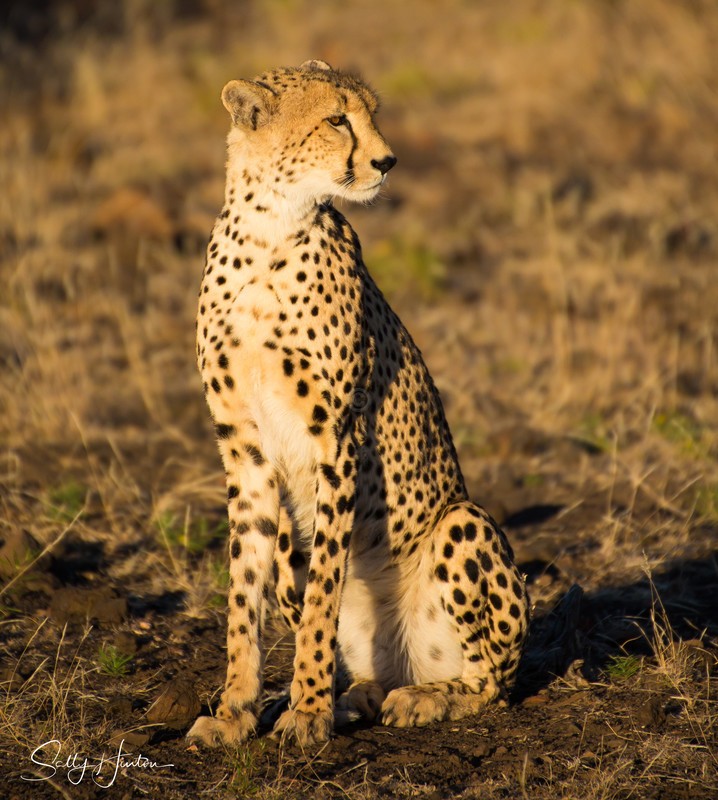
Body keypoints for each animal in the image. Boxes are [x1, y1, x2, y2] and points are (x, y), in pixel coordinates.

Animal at [187, 60, 529, 748]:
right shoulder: (245, 449)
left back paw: (423, 698)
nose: (387, 160)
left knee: (492, 683)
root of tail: (402, 663)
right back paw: (356, 696)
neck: (270, 227)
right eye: (336, 119)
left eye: (371, 114)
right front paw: (236, 711)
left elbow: (324, 588)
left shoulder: (336, 437)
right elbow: (243, 591)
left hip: (462, 523)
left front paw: (308, 712)